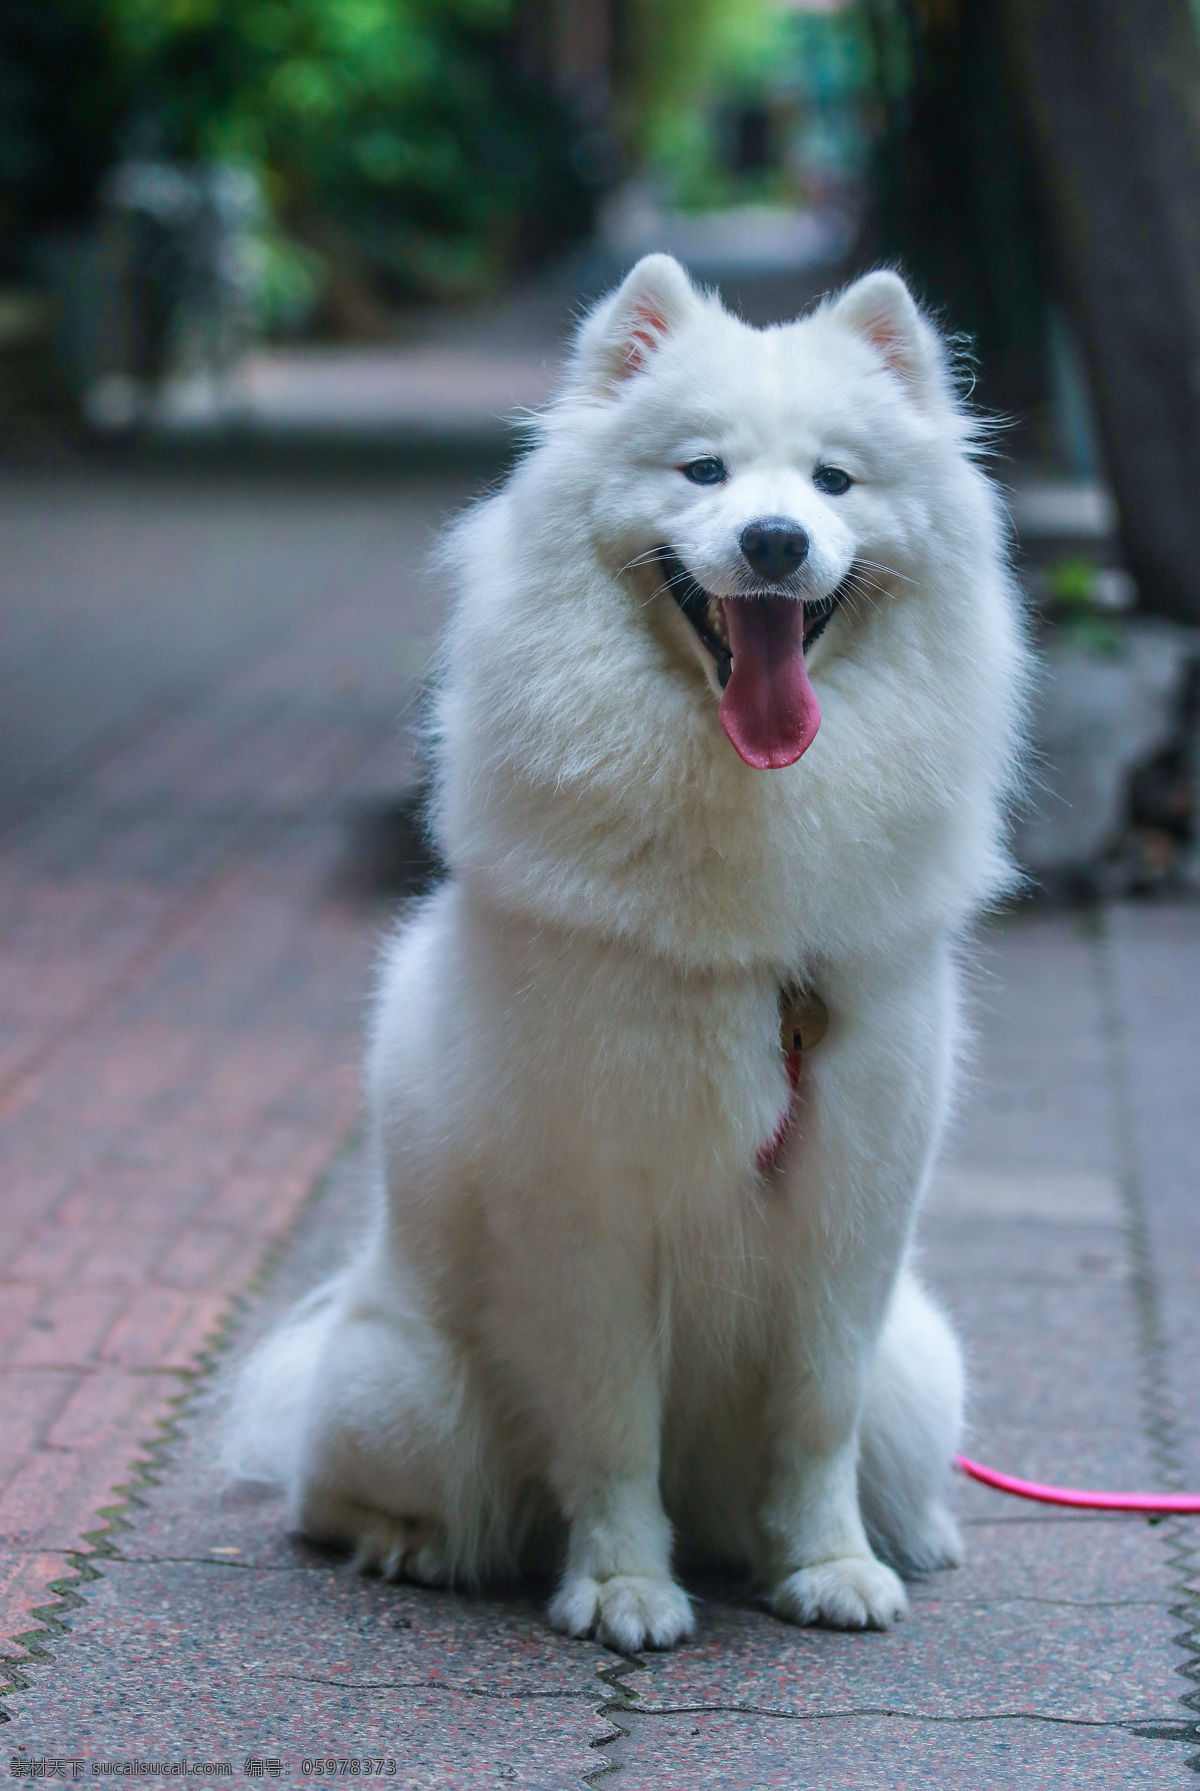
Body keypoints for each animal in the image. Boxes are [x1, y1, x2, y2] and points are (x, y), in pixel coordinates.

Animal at [231, 252, 1031, 1647]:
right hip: (411, 1393)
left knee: (874, 1447)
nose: (775, 543)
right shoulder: (592, 1212)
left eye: (834, 482)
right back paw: (409, 1545)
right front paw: (621, 1589)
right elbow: (609, 1433)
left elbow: (817, 1418)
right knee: (336, 1489)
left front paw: (830, 1566)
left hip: (923, 1363)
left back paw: (910, 1533)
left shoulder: (852, 1206)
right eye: (702, 472)